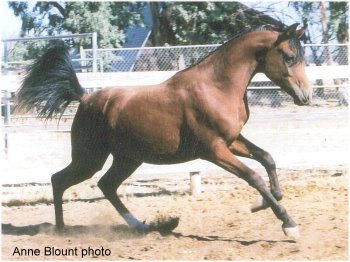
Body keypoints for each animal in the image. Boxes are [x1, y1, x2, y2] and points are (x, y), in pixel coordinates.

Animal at [16, 23, 312, 238]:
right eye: (289, 57)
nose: (306, 97)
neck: (216, 86)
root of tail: (85, 98)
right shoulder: (214, 150)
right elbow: (254, 176)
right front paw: (288, 223)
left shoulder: (231, 141)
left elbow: (267, 158)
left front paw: (265, 202)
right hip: (89, 159)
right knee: (59, 180)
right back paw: (60, 230)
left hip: (127, 159)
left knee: (106, 185)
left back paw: (141, 226)